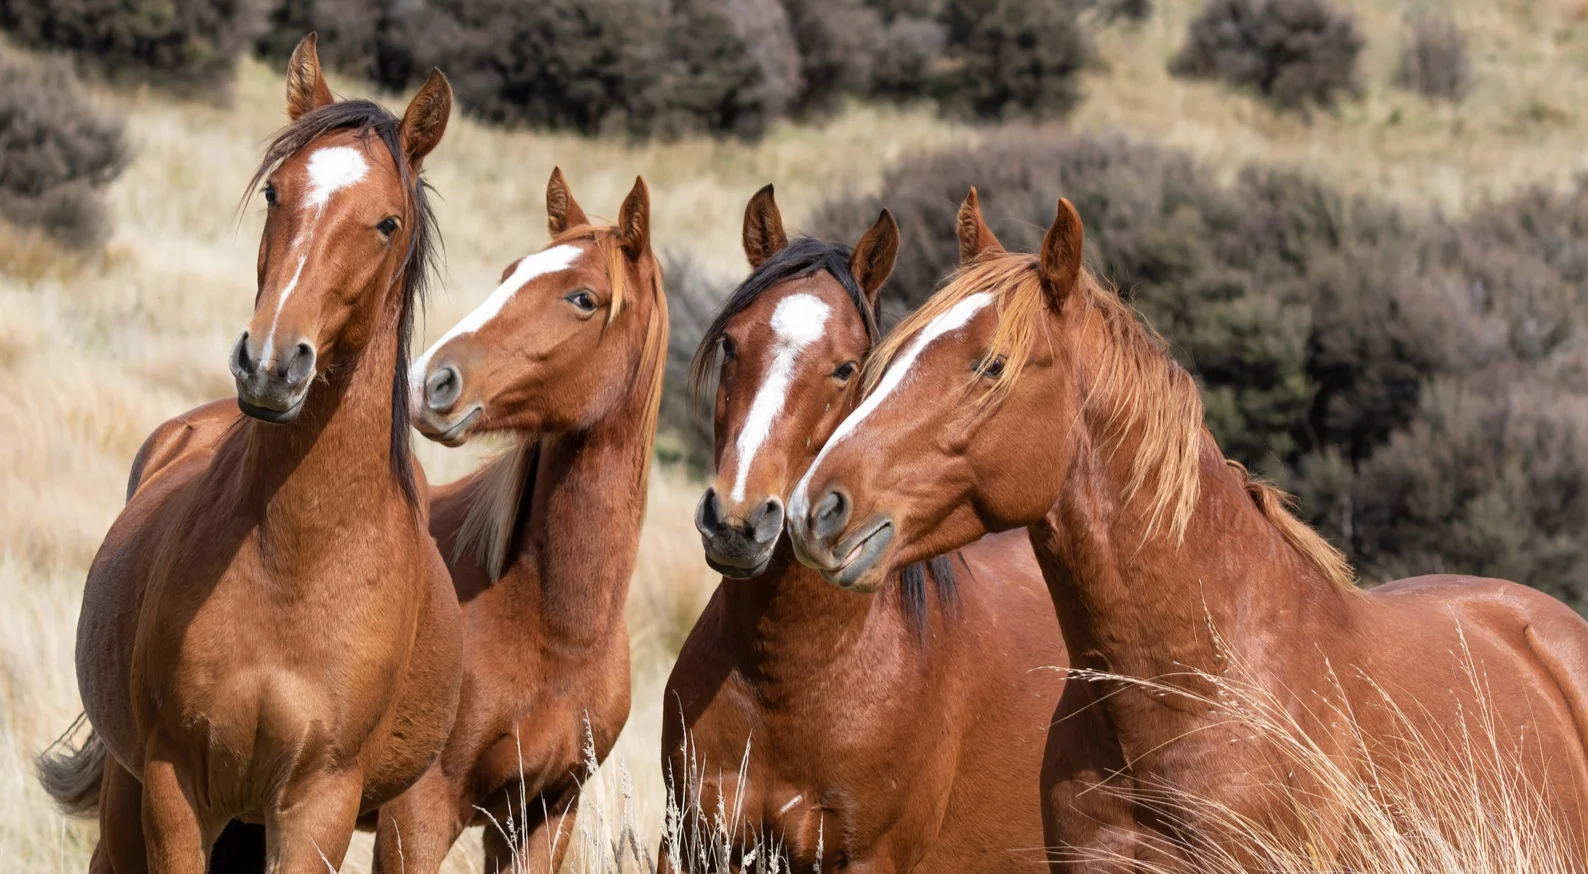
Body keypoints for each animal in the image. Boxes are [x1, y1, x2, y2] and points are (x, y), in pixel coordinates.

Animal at [36, 35, 464, 873]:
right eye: (275, 192)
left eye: (387, 223)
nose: (269, 364)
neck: (293, 561)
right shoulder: (175, 786)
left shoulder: (316, 805)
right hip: (131, 797)